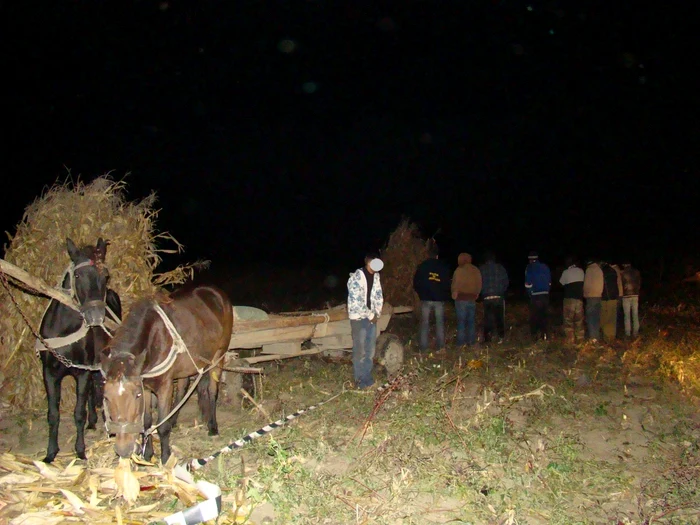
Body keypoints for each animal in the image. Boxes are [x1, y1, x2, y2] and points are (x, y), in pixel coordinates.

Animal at [39, 237, 122, 462]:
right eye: (77, 275)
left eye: (106, 276)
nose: (96, 317)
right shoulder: (49, 374)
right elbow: (53, 414)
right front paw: (51, 452)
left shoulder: (82, 372)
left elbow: (78, 413)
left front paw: (80, 450)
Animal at [100, 286, 232, 462]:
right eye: (106, 397)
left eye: (136, 396)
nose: (123, 449)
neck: (153, 337)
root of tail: (216, 292)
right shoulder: (146, 386)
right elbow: (147, 422)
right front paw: (148, 454)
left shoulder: (164, 387)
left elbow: (162, 425)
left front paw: (165, 457)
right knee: (183, 389)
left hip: (218, 357)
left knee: (212, 391)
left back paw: (212, 427)